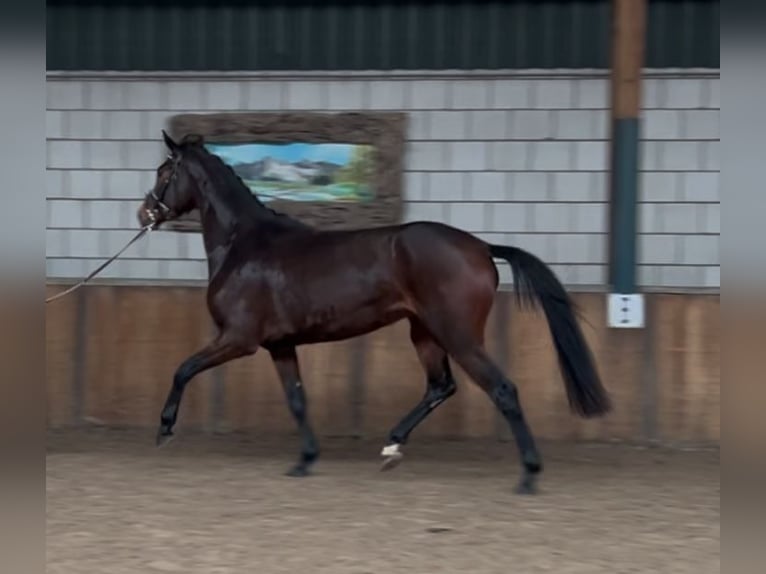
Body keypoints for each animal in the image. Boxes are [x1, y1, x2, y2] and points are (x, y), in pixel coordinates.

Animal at [140, 130, 612, 496]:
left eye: (164, 173)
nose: (144, 211)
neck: (245, 244)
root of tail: (480, 246)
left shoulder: (238, 339)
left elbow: (183, 369)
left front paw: (164, 430)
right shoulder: (280, 345)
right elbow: (297, 400)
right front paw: (305, 461)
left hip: (458, 335)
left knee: (502, 390)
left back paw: (528, 475)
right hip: (424, 332)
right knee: (440, 386)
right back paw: (392, 446)